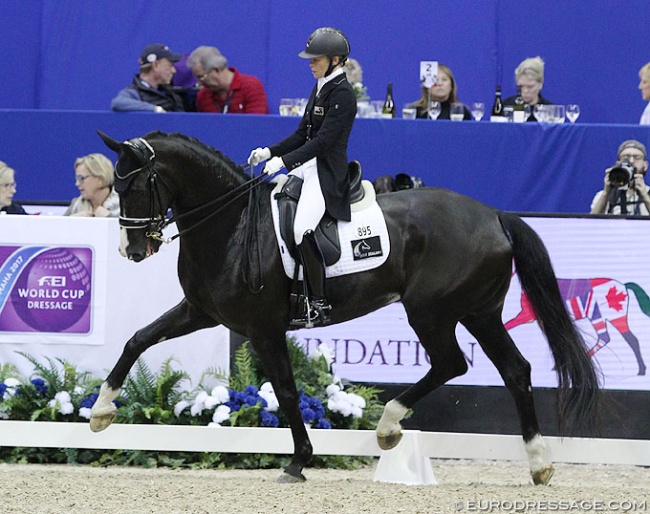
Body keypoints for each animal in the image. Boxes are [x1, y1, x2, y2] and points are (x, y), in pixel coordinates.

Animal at [92, 130, 596, 482]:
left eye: (137, 187)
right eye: (117, 187)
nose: (130, 251)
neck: (233, 225)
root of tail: (493, 215)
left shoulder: (263, 329)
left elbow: (287, 391)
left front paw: (299, 461)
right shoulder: (201, 313)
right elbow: (137, 340)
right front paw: (100, 412)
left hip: (432, 311)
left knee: (452, 363)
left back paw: (389, 427)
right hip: (478, 312)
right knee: (515, 370)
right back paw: (538, 464)